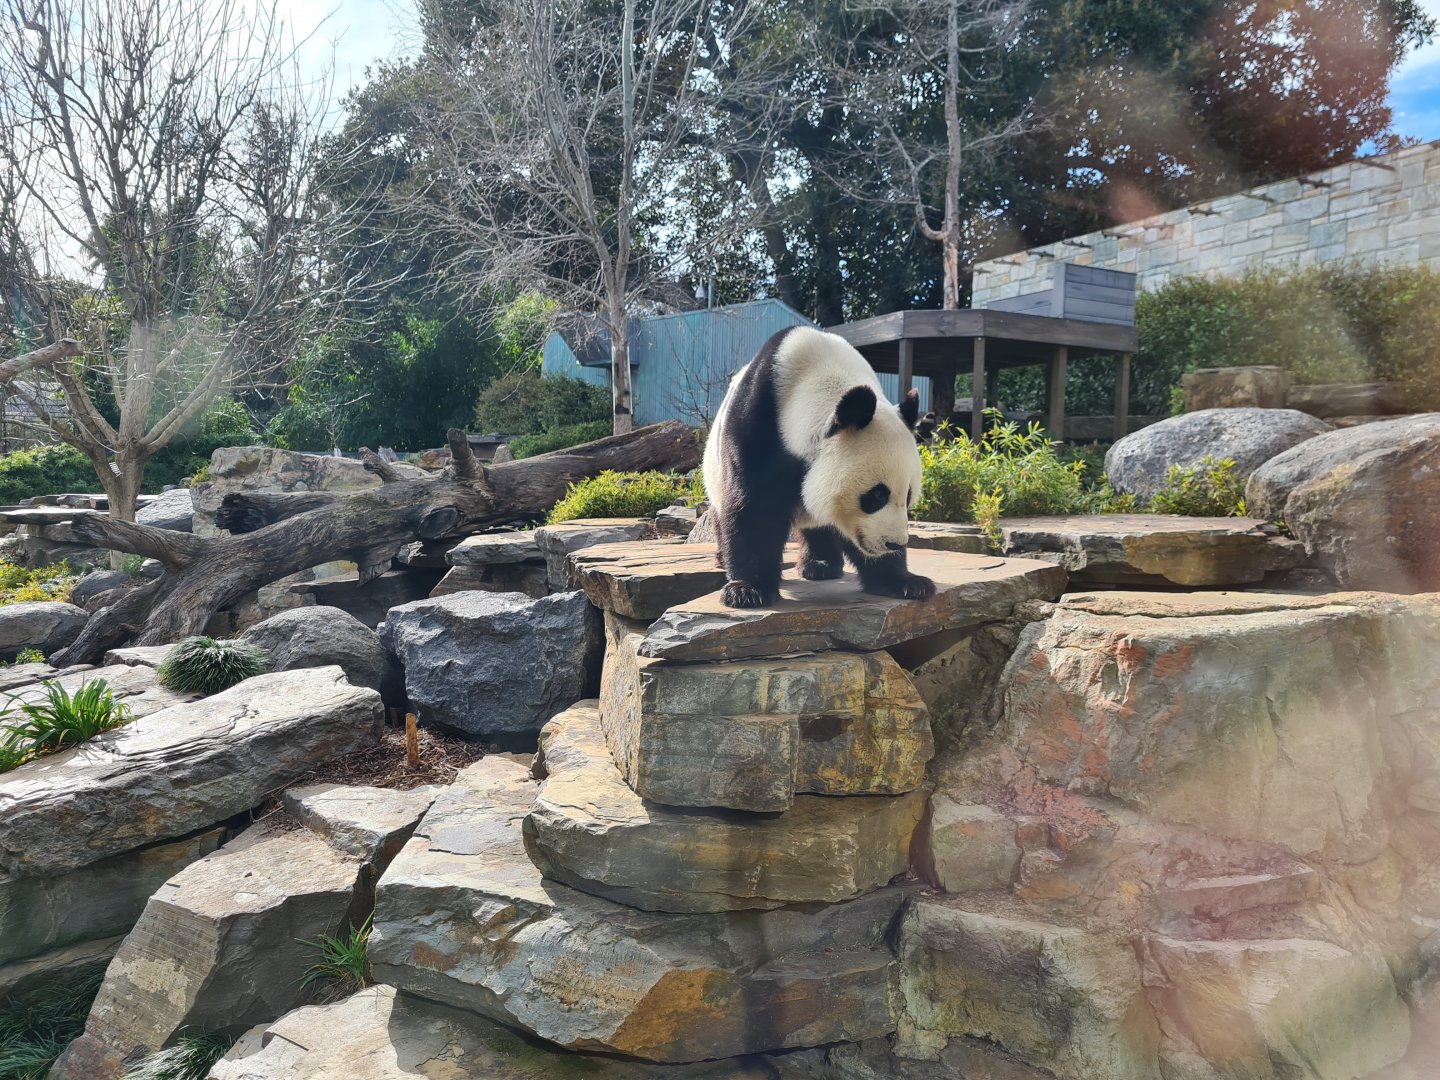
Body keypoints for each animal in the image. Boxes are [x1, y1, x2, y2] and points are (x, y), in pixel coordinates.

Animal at [702, 325, 936, 609]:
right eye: (877, 495)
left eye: (909, 495)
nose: (894, 543)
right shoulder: (757, 424)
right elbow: (754, 507)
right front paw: (747, 591)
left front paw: (907, 582)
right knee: (720, 510)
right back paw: (723, 559)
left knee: (819, 524)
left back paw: (821, 565)